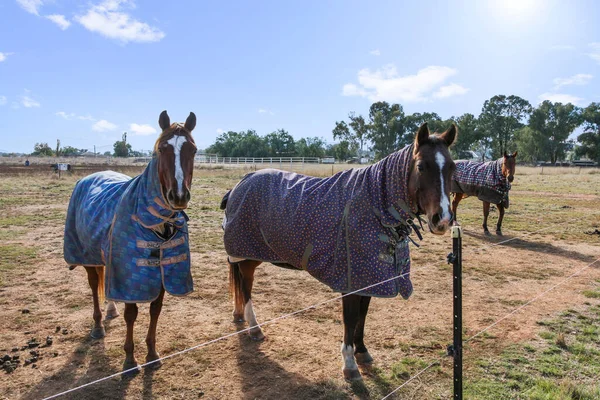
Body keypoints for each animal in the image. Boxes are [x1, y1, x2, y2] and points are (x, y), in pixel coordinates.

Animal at [64, 111, 198, 374]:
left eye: (193, 150)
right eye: (161, 150)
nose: (178, 196)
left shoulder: (161, 271)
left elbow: (155, 310)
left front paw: (152, 354)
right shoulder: (130, 276)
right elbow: (131, 313)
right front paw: (129, 360)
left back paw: (110, 309)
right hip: (88, 257)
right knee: (94, 285)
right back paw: (98, 326)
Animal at [221, 123, 460, 380]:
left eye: (452, 167)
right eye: (421, 166)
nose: (443, 219)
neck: (373, 206)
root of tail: (239, 184)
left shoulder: (369, 279)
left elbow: (363, 315)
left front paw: (362, 351)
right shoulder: (351, 281)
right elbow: (351, 318)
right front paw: (349, 363)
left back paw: (238, 315)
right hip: (247, 255)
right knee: (246, 287)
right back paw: (254, 327)